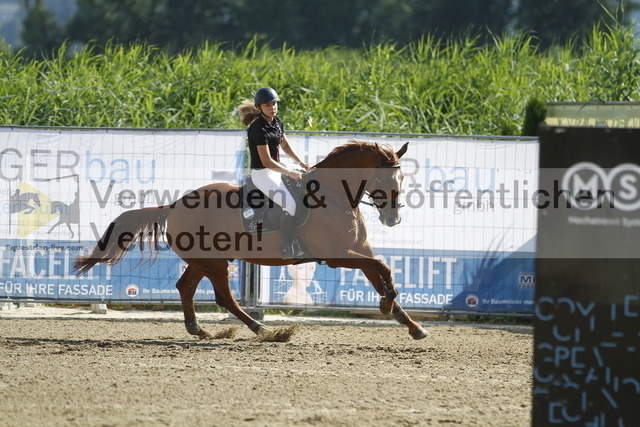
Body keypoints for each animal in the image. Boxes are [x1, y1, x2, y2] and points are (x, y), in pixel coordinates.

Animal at [75, 140, 428, 340]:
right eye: (386, 178)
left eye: (402, 178)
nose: (393, 219)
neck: (336, 197)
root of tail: (173, 205)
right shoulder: (336, 254)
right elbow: (383, 267)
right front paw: (387, 304)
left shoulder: (357, 250)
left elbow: (380, 271)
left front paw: (408, 322)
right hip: (214, 262)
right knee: (223, 297)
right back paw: (265, 330)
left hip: (206, 260)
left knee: (186, 287)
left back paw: (198, 329)